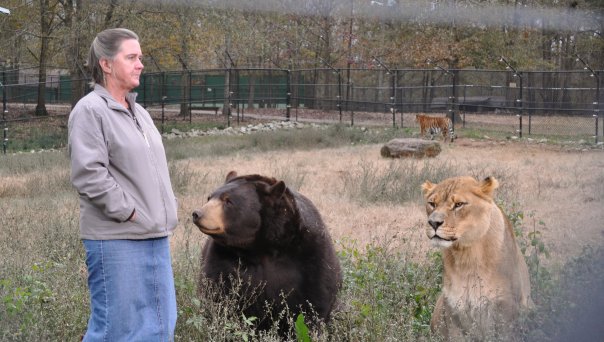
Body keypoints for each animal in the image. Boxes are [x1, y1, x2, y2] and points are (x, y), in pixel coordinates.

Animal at [193, 170, 344, 336]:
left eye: (228, 201)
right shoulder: (223, 257)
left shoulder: (310, 254)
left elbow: (316, 298)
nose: (197, 213)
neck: (261, 248)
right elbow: (218, 292)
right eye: (209, 197)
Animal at [422, 176, 532, 340]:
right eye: (432, 204)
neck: (466, 256)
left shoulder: (506, 310)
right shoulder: (453, 310)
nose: (433, 222)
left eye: (459, 204)